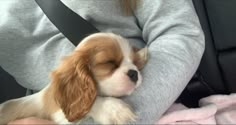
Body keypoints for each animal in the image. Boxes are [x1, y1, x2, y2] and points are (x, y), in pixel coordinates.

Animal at [0, 32, 148, 124]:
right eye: (109, 62)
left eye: (133, 61)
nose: (134, 73)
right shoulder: (59, 115)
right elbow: (90, 103)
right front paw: (114, 109)